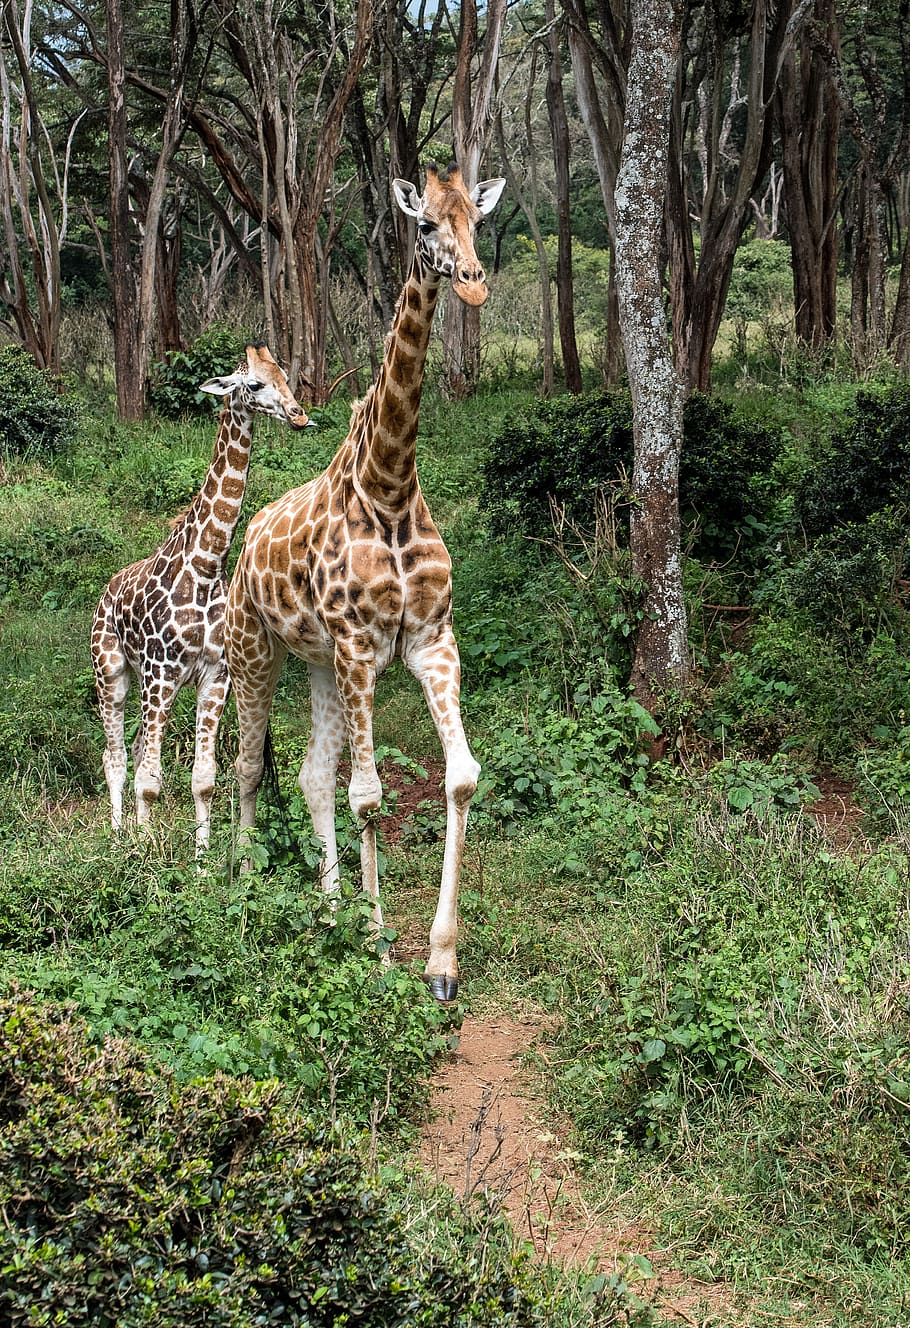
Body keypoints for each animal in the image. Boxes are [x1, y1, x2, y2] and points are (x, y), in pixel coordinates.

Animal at [91, 342, 311, 855]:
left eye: (286, 376)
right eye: (254, 383)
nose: (298, 414)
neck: (207, 565)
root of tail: (106, 591)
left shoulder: (215, 677)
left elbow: (203, 779)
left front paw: (203, 860)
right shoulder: (161, 674)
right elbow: (149, 779)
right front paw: (146, 859)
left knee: (133, 753)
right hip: (113, 674)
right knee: (116, 757)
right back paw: (119, 838)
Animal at [224, 164, 505, 1000]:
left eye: (476, 221)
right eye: (426, 226)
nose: (474, 284)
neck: (388, 484)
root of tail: (246, 539)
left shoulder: (430, 639)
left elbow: (461, 778)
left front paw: (440, 962)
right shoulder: (359, 648)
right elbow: (371, 796)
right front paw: (381, 953)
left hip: (315, 664)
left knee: (311, 777)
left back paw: (327, 914)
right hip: (257, 652)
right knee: (248, 768)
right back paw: (242, 897)